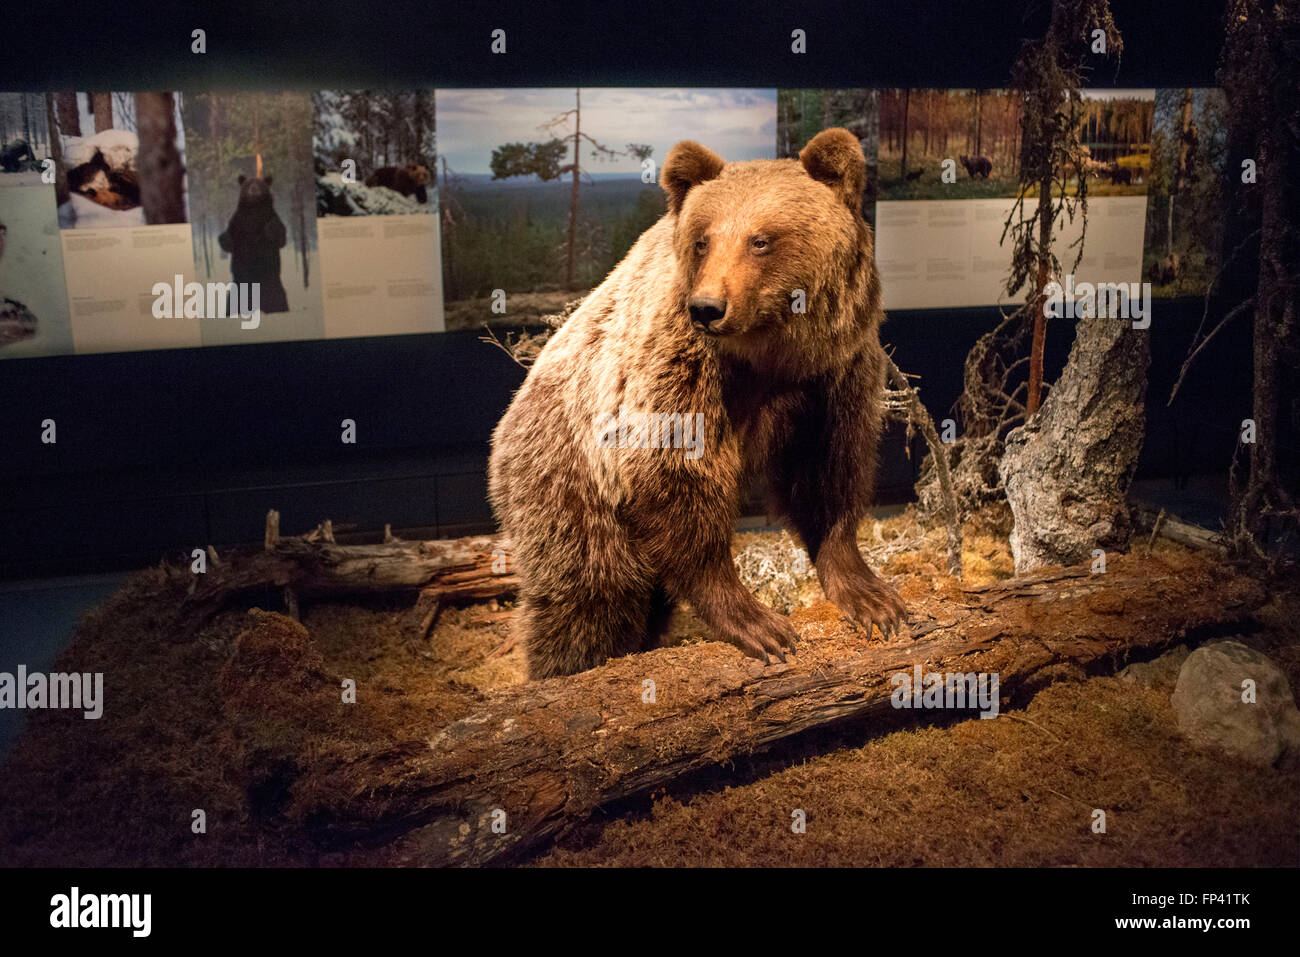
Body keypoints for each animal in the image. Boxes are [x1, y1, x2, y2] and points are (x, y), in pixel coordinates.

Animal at [218, 174, 289, 314]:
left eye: (260, 183)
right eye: (248, 183)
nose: (254, 189)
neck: (254, 209)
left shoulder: (269, 216)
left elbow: (280, 237)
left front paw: (271, 229)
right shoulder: (239, 222)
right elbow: (230, 240)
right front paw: (225, 237)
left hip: (272, 285)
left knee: (277, 299)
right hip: (239, 288)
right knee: (232, 303)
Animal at [489, 127, 906, 680]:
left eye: (760, 239)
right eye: (704, 239)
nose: (708, 307)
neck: (773, 354)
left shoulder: (835, 372)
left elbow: (828, 470)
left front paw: (871, 597)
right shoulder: (679, 367)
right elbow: (674, 475)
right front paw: (757, 622)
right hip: (565, 482)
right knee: (590, 591)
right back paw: (570, 665)